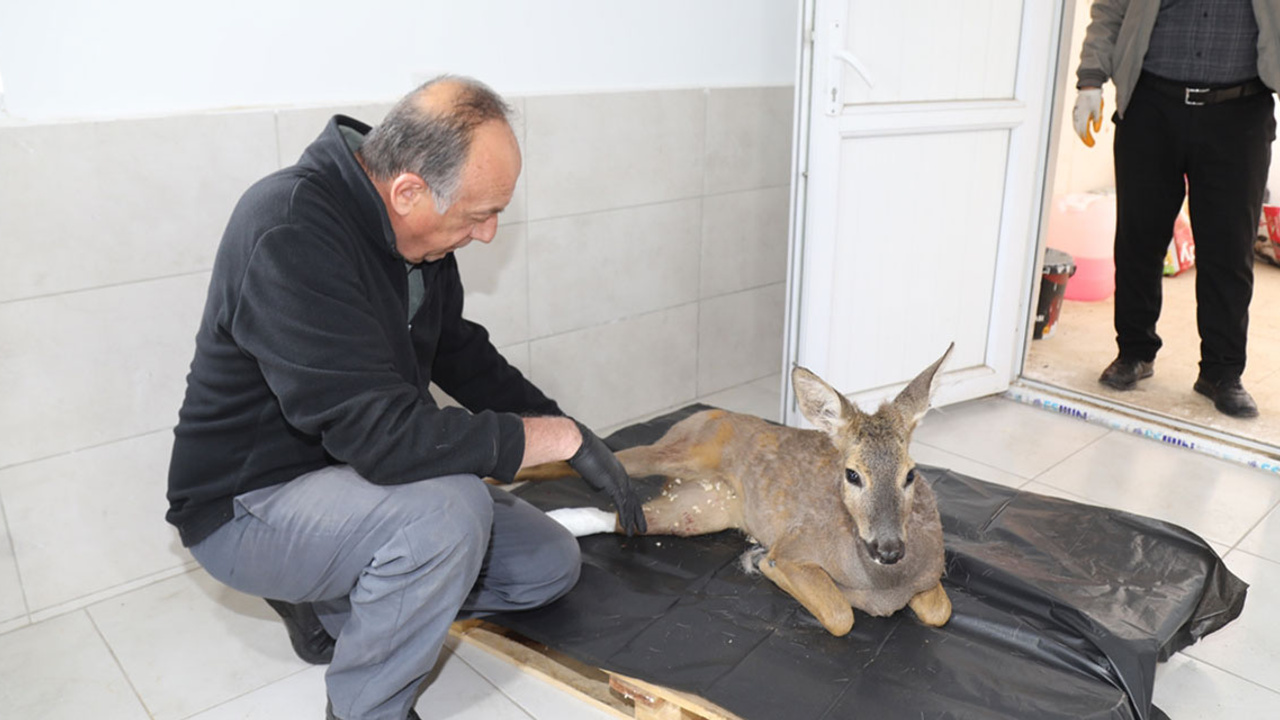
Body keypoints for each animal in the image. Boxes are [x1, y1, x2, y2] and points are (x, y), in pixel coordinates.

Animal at [517, 340, 952, 632]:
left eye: (910, 474)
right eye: (852, 474)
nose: (889, 549)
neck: (883, 588)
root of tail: (706, 411)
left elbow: (940, 612)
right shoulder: (795, 549)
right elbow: (840, 615)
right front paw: (764, 564)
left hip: (697, 511)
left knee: (622, 518)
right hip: (681, 452)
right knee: (601, 459)